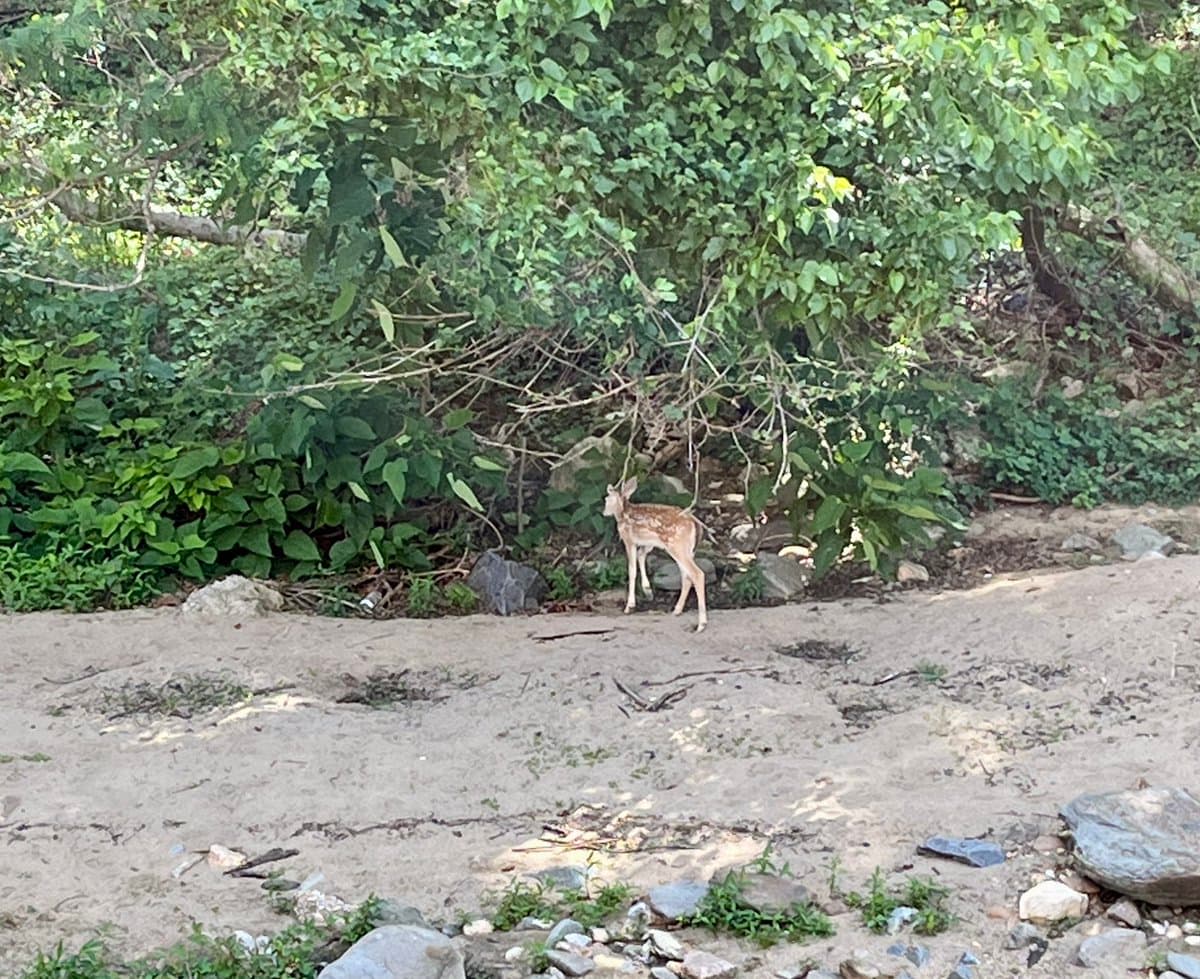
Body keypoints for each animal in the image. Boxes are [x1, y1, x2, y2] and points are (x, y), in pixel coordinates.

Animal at [603, 477, 708, 632]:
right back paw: (677, 610)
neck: (623, 514)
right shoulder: (649, 543)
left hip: (676, 545)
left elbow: (631, 570)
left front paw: (629, 606)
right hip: (687, 549)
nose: (604, 512)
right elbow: (641, 556)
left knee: (697, 574)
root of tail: (695, 523)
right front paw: (648, 591)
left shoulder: (629, 540)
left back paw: (701, 624)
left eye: (606, 499)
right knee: (687, 576)